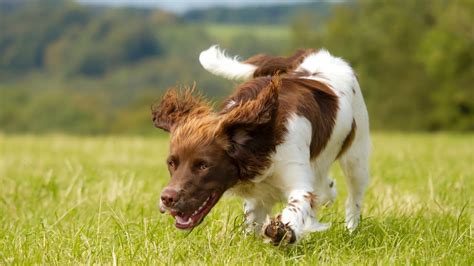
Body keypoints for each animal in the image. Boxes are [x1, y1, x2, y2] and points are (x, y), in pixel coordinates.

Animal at [152, 45, 370, 245]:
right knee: (325, 188)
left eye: (204, 165)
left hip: (357, 158)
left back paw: (351, 230)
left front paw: (282, 231)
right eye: (171, 163)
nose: (167, 198)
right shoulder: (258, 197)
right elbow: (252, 223)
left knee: (354, 199)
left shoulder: (298, 182)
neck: (260, 142)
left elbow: (296, 206)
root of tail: (313, 53)